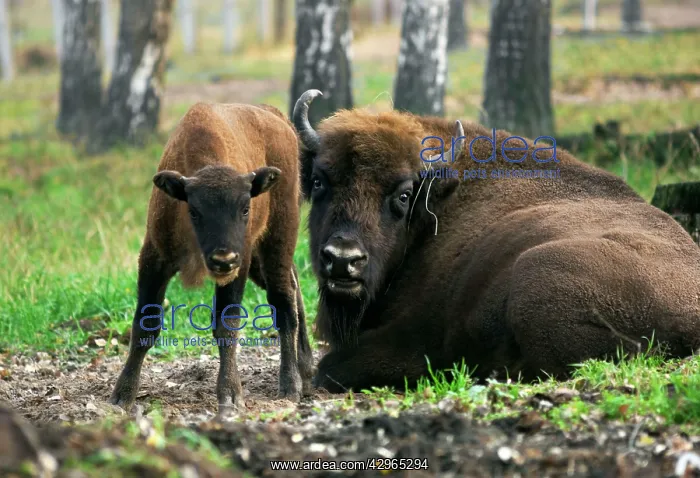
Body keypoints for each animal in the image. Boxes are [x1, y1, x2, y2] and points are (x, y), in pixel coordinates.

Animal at [109, 102, 313, 414]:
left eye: (245, 207)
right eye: (194, 211)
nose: (223, 259)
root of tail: (277, 117)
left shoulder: (238, 267)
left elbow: (226, 326)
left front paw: (230, 396)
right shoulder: (153, 258)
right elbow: (145, 324)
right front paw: (122, 396)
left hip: (278, 239)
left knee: (283, 302)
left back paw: (290, 386)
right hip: (262, 260)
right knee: (293, 286)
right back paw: (306, 370)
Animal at [292, 89, 700, 393]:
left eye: (404, 195)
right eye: (319, 182)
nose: (343, 259)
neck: (438, 200)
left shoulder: (413, 340)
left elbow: (330, 367)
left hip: (537, 271)